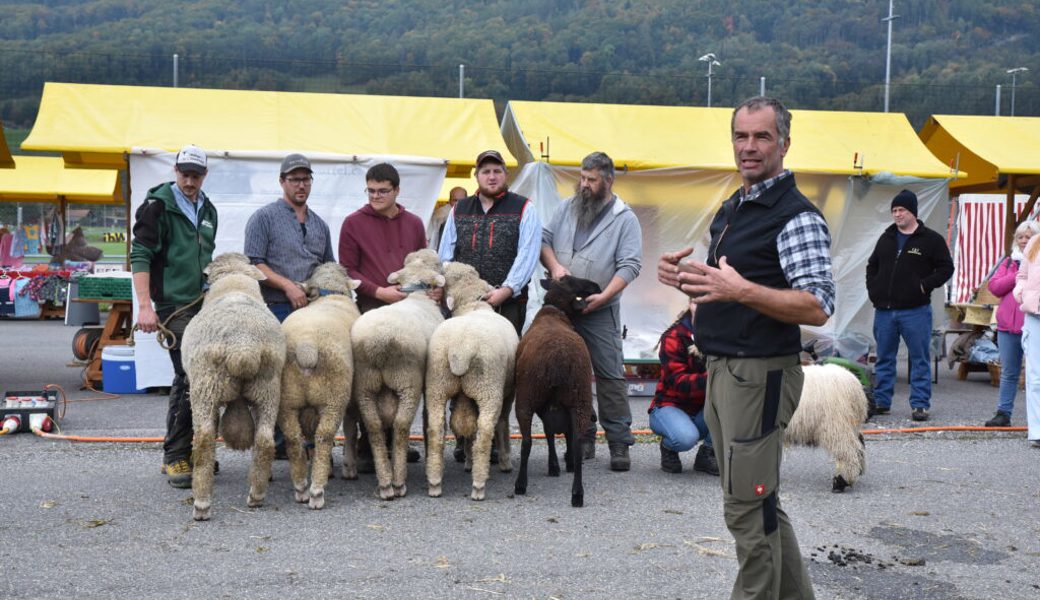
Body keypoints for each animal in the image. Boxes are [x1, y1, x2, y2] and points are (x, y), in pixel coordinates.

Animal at [182, 252, 287, 519]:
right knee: (264, 440)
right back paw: (257, 494)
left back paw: (201, 503)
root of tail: (243, 346)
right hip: (268, 387)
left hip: (205, 388)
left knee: (204, 439)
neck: (235, 283)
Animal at [276, 259, 361, 507]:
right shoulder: (350, 397)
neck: (330, 295)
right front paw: (349, 467)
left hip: (287, 400)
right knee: (324, 436)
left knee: (294, 438)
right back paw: (316, 491)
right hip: (334, 396)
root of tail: (307, 346)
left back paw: (301, 487)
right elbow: (350, 430)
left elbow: (309, 434)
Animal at [351, 245, 445, 499]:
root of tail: (379, 342)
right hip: (407, 381)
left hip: (365, 384)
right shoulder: (427, 383)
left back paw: (385, 482)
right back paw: (398, 481)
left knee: (374, 426)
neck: (417, 295)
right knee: (401, 425)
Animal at [424, 262, 517, 501]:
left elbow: (467, 427)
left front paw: (467, 461)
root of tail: (460, 350)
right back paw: (479, 484)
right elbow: (502, 423)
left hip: (438, 386)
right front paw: (505, 461)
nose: (445, 262)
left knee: (436, 429)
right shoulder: (508, 392)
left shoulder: (464, 396)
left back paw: (435, 482)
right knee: (485, 432)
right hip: (489, 389)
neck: (473, 306)